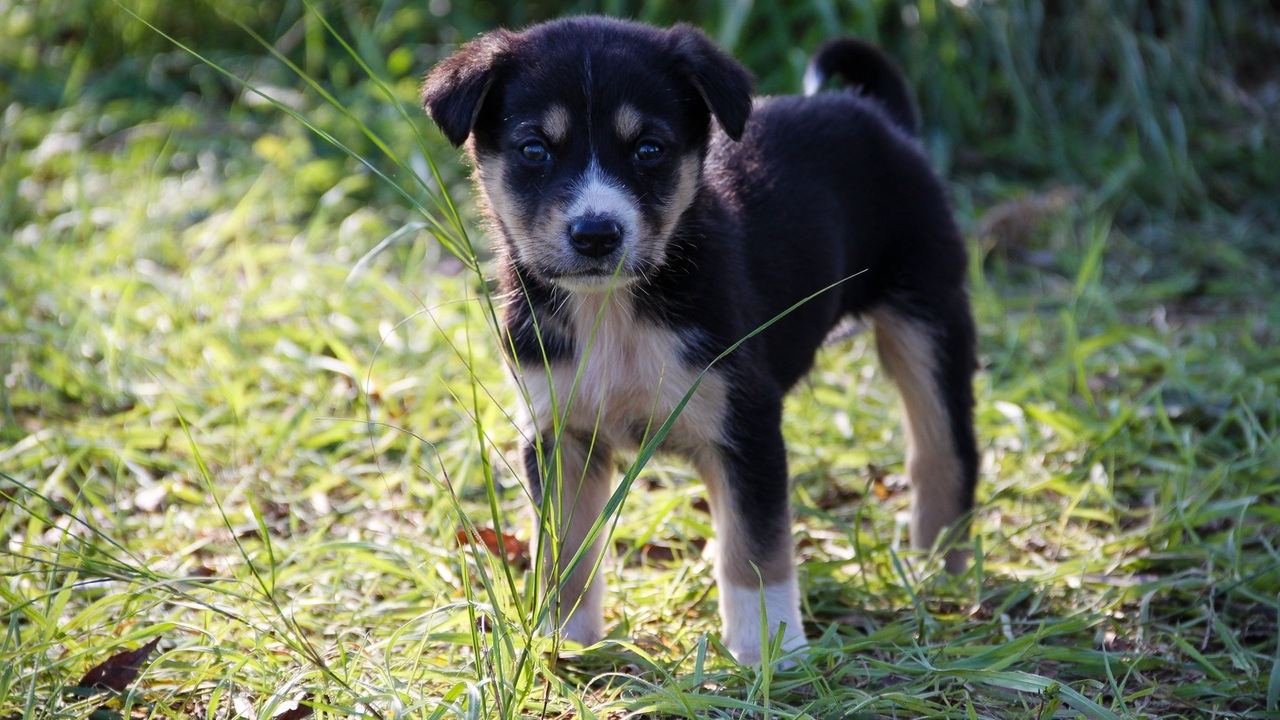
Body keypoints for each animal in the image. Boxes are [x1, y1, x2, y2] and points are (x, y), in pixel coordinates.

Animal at [424, 15, 972, 661]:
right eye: (534, 150)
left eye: (649, 149)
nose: (596, 234)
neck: (616, 311)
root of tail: (879, 119)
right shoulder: (560, 432)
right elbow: (567, 551)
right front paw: (566, 639)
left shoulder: (746, 422)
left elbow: (757, 550)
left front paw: (768, 648)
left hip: (927, 315)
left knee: (944, 449)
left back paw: (939, 570)